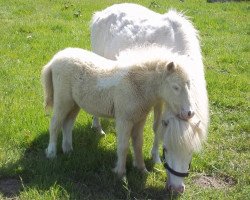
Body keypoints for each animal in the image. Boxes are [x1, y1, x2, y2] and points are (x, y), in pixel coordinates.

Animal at [42, 46, 195, 178]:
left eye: (189, 85)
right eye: (175, 87)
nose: (190, 113)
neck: (136, 84)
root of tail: (55, 59)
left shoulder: (139, 119)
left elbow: (138, 144)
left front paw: (142, 169)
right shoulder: (124, 120)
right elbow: (123, 146)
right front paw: (121, 173)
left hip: (74, 104)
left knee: (67, 124)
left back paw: (68, 150)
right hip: (63, 101)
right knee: (55, 124)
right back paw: (51, 153)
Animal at [90, 3, 209, 194]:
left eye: (191, 153)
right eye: (166, 150)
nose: (176, 189)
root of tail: (103, 12)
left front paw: (154, 158)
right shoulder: (158, 99)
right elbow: (157, 127)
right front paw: (155, 158)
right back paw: (98, 126)